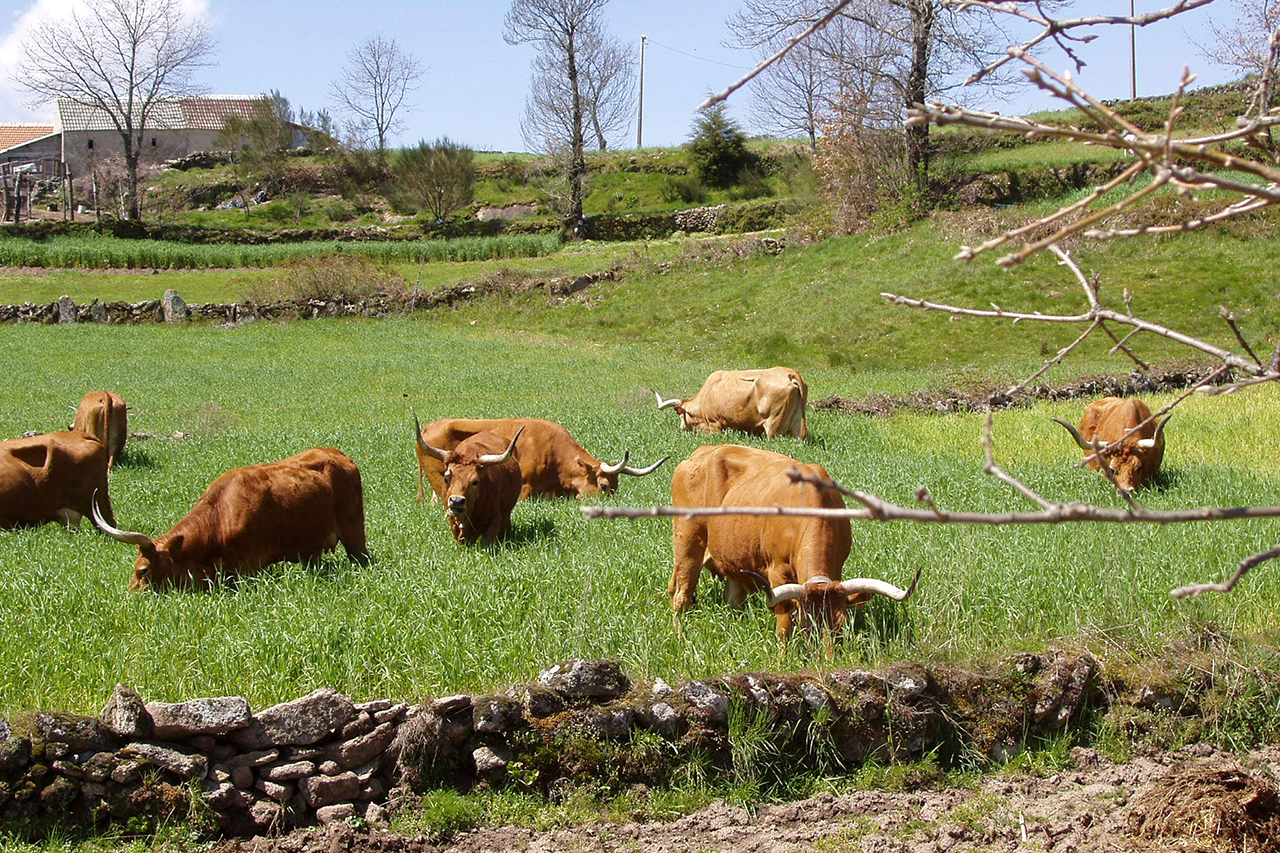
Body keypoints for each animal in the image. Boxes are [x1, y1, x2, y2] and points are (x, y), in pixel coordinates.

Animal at [670, 440, 921, 640]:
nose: (826, 660)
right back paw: (679, 637)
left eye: (841, 626)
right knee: (681, 596)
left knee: (729, 598)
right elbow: (784, 623)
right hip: (687, 543)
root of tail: (702, 452)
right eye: (806, 624)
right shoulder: (776, 572)